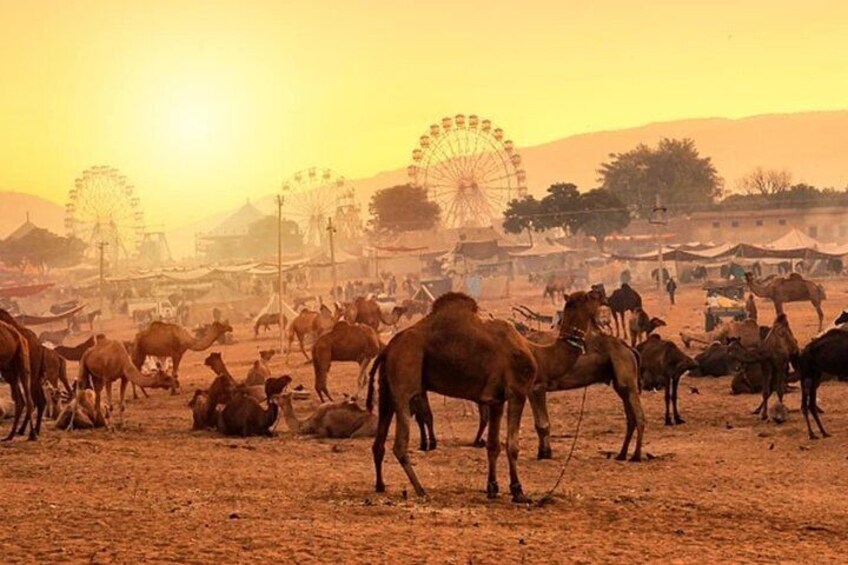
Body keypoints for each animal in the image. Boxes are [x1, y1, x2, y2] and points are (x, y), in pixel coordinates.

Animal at [364, 290, 536, 502]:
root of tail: (388, 349)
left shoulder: (496, 399)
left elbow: (494, 445)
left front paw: (492, 488)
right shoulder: (517, 392)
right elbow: (512, 445)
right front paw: (518, 491)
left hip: (386, 390)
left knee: (379, 442)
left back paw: (381, 485)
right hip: (404, 375)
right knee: (399, 444)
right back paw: (420, 489)